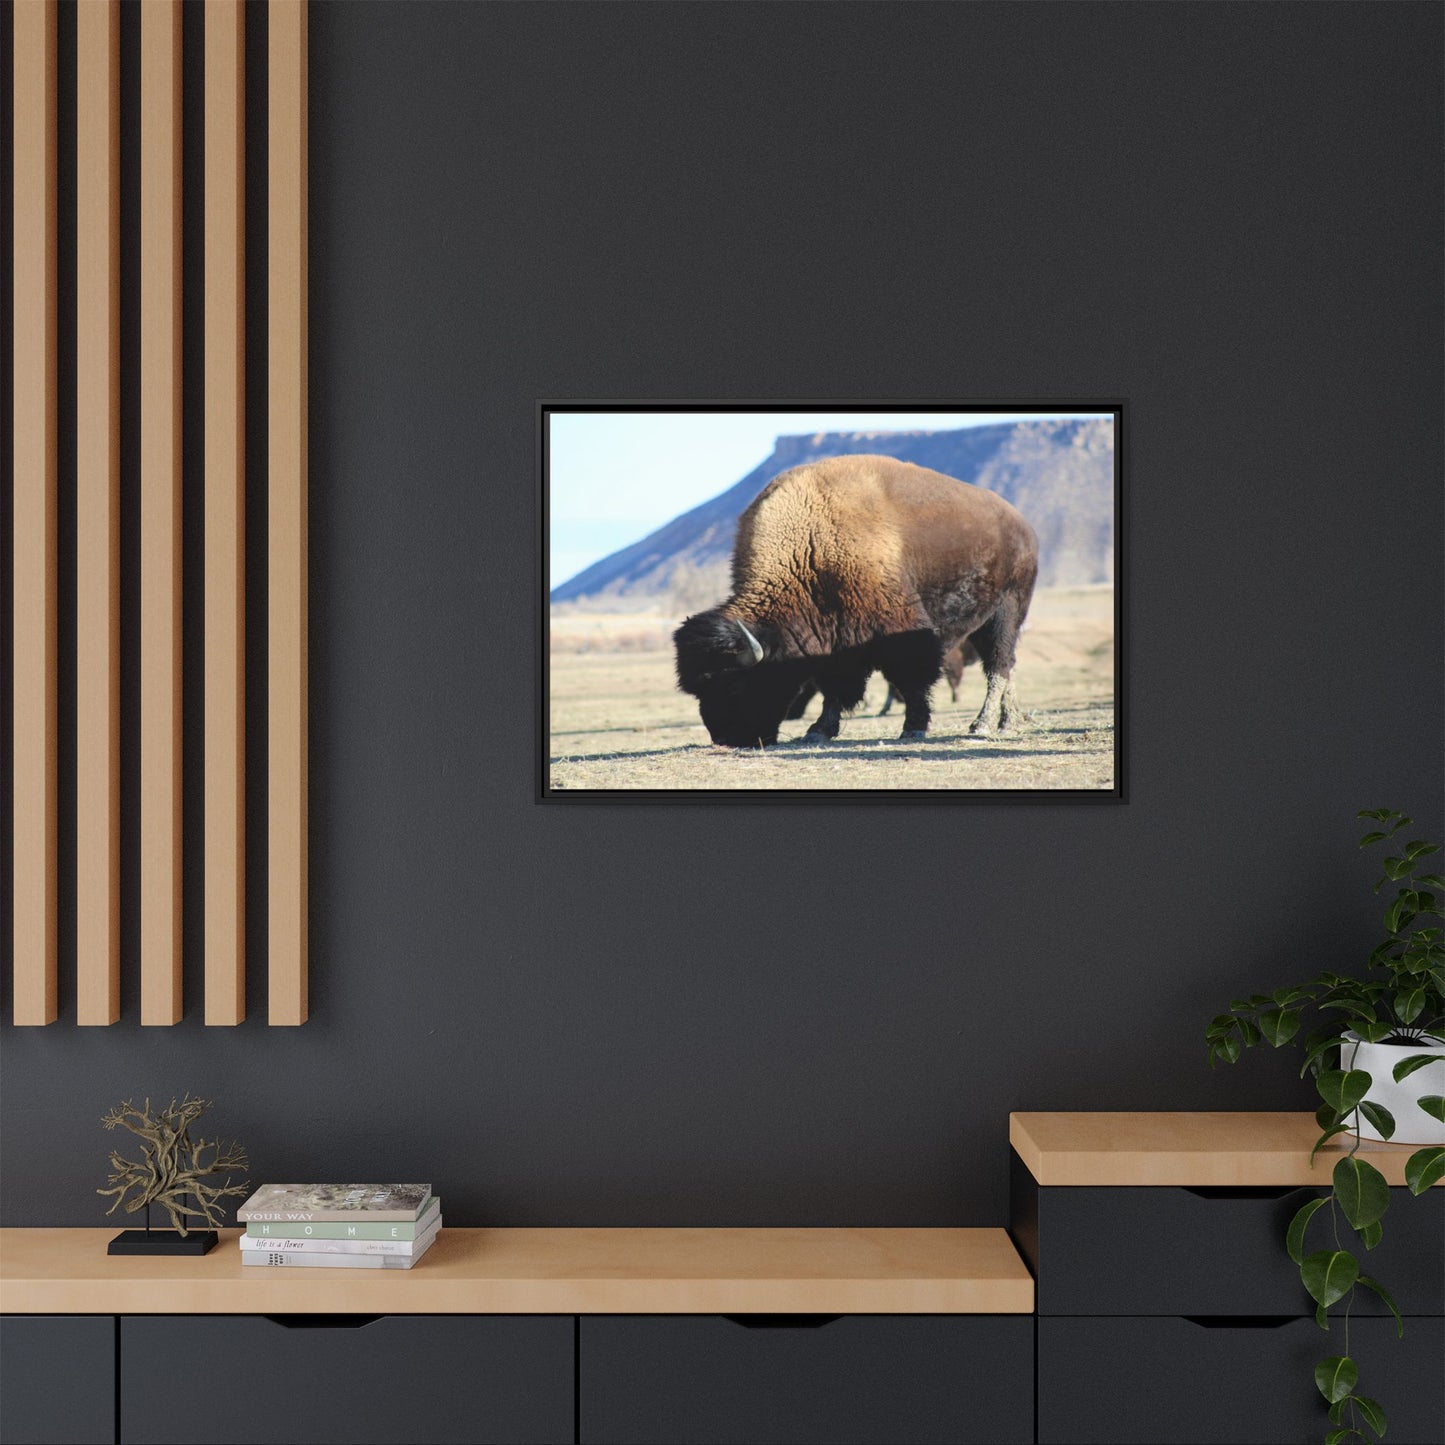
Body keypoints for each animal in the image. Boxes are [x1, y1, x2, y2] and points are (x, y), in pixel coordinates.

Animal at [673, 454, 1038, 748]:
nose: (726, 738)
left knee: (998, 665)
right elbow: (834, 687)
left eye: (734, 684)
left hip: (1007, 612)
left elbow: (912, 679)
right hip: (983, 621)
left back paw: (985, 725)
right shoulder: (835, 641)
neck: (810, 547)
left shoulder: (901, 630)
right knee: (1006, 665)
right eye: (699, 689)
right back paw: (1008, 721)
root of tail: (1021, 525)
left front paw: (914, 728)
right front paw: (818, 731)